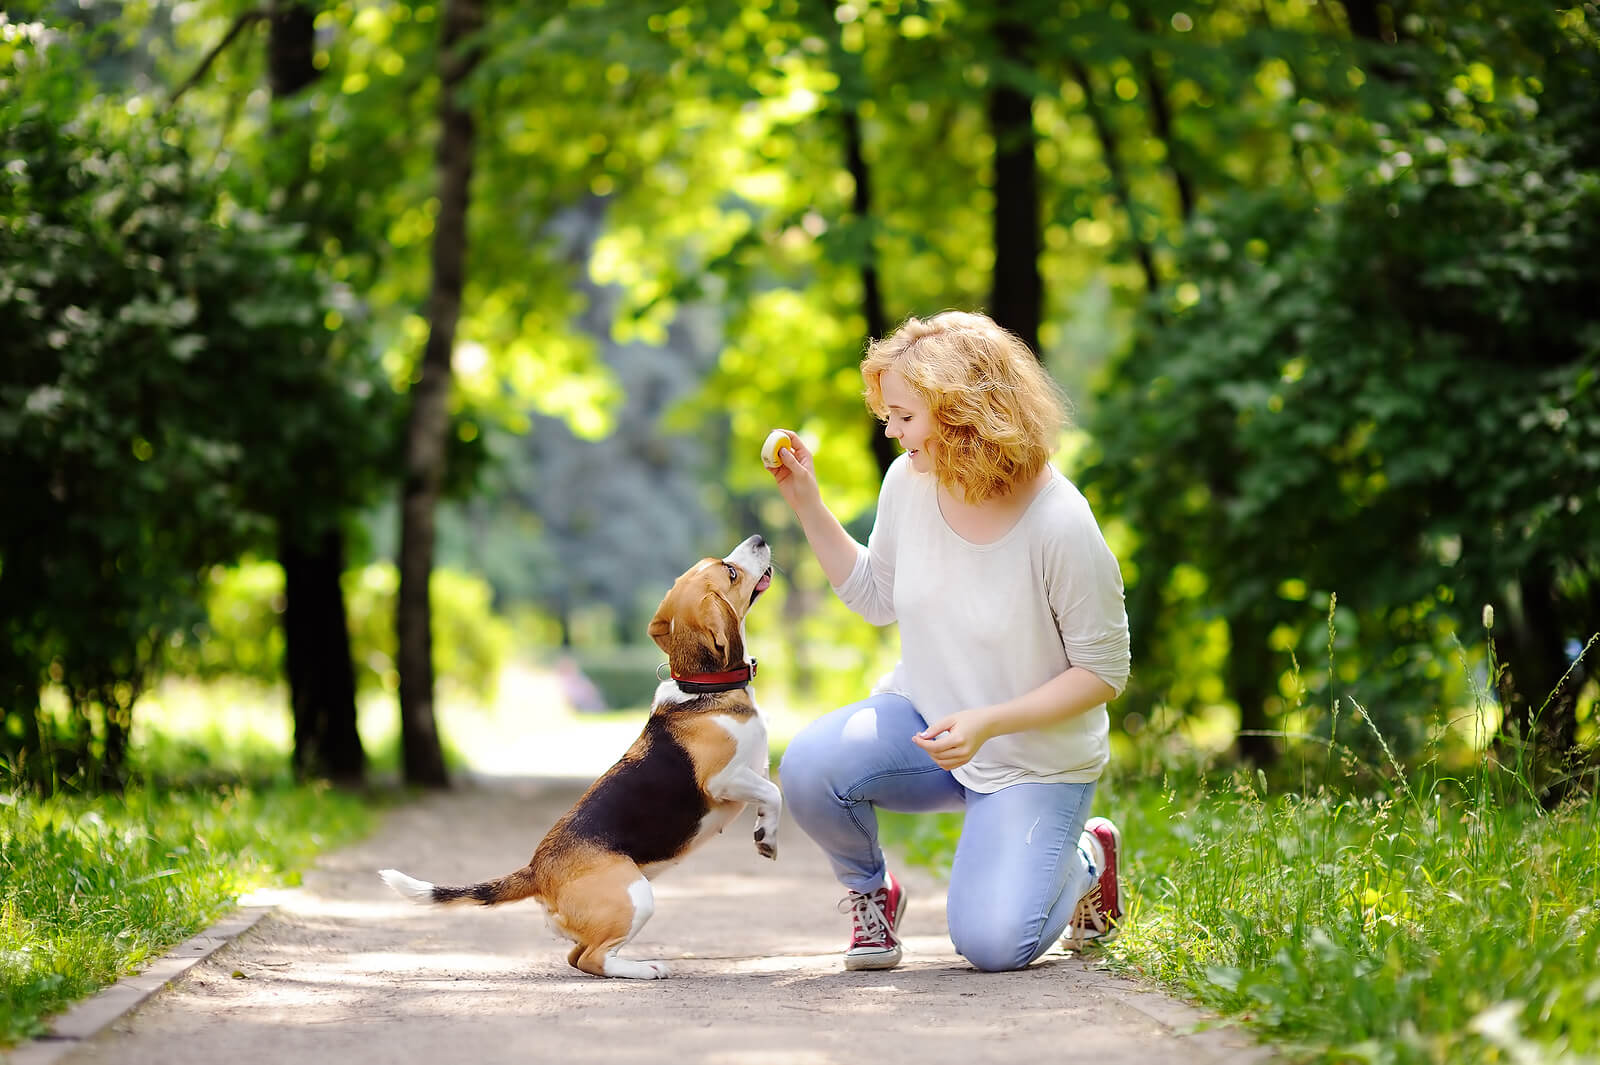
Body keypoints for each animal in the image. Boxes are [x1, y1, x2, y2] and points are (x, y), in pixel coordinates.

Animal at [374, 530, 774, 978]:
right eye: (730, 571)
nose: (758, 538)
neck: (703, 687)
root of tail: (536, 871)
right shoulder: (724, 780)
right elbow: (774, 791)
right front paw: (770, 838)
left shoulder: (756, 770)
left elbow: (769, 793)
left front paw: (764, 831)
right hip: (636, 896)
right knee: (594, 958)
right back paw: (644, 968)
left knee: (577, 957)